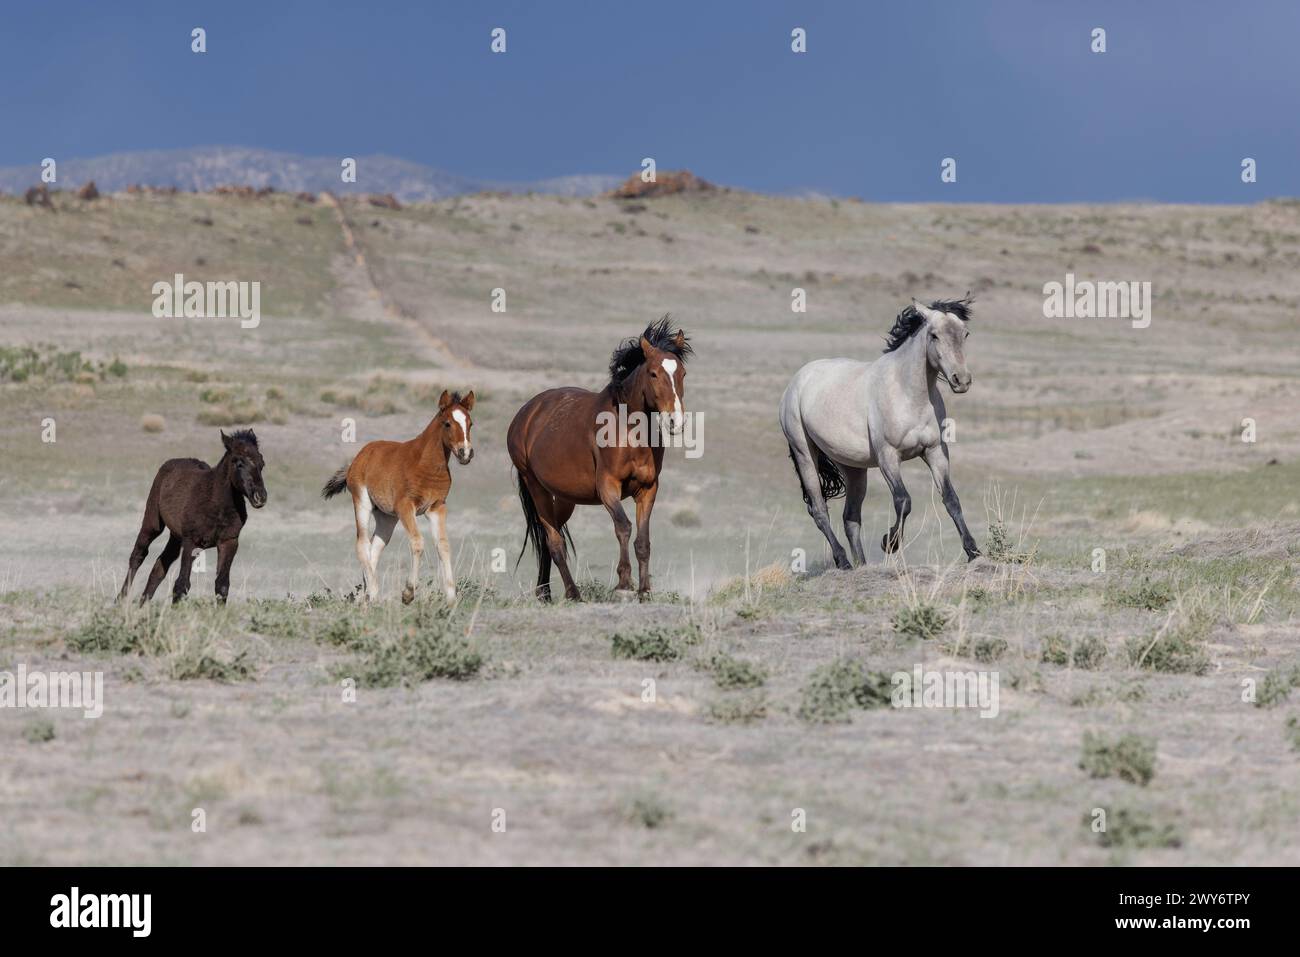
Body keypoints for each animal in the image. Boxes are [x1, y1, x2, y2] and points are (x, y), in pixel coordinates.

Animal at [118, 429, 266, 600]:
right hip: (153, 522)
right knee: (138, 555)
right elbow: (181, 585)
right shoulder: (190, 541)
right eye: (239, 463)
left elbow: (222, 586)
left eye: (262, 463)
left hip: (176, 536)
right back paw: (120, 600)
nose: (260, 497)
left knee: (159, 566)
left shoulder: (229, 541)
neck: (216, 505)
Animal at [322, 387, 475, 598]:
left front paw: (452, 598)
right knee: (362, 544)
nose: (465, 453)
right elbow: (417, 542)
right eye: (447, 423)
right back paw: (373, 591)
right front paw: (408, 593)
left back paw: (367, 596)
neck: (424, 463)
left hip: (387, 517)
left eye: (470, 423)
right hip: (362, 503)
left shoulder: (437, 508)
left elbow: (443, 545)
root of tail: (359, 457)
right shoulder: (406, 507)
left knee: (375, 548)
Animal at [504, 315, 691, 598]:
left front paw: (644, 591)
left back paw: (545, 593)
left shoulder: (648, 489)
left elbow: (643, 540)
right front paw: (624, 585)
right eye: (653, 373)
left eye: (682, 373)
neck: (629, 430)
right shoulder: (607, 487)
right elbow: (623, 527)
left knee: (549, 541)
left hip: (565, 498)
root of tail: (526, 414)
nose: (675, 421)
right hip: (537, 489)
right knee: (554, 541)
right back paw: (572, 593)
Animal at [780, 299, 977, 566]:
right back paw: (843, 562)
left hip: (852, 468)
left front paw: (973, 552)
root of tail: (796, 381)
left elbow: (951, 499)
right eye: (934, 336)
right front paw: (889, 543)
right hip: (805, 455)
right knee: (819, 511)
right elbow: (903, 501)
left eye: (964, 334)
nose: (961, 380)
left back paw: (861, 565)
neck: (908, 394)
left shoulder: (935, 451)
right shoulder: (888, 456)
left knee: (850, 518)